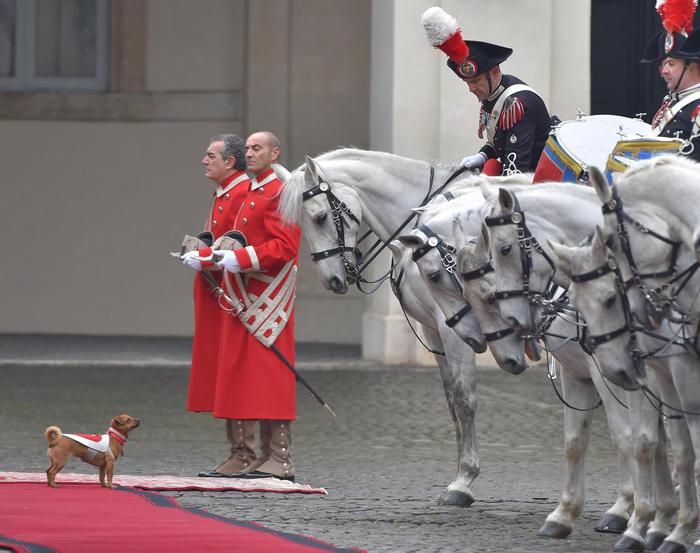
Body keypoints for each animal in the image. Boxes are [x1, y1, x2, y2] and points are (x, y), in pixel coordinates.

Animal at [400, 190, 668, 540]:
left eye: (434, 276)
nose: (477, 342)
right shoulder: (582, 372)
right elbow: (584, 439)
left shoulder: (613, 374)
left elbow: (627, 434)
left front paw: (624, 511)